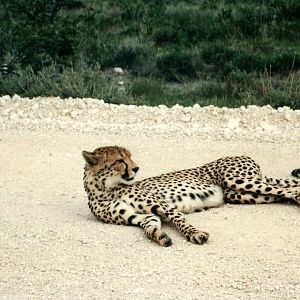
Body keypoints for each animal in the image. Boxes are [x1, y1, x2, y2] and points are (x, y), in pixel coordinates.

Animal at [82, 145, 300, 246]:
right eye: (120, 160)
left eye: (129, 156)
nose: (136, 168)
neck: (104, 189)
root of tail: (244, 156)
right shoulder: (143, 216)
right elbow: (150, 227)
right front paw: (160, 236)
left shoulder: (164, 206)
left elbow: (180, 220)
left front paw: (195, 234)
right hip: (241, 194)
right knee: (282, 194)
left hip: (238, 180)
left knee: (289, 190)